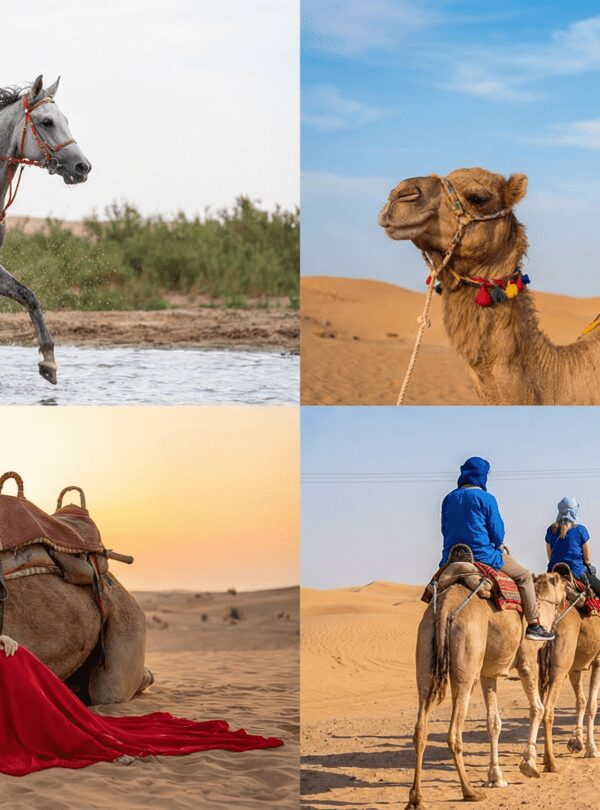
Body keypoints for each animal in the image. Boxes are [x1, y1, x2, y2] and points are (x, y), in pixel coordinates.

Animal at [406, 571, 565, 809]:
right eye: (564, 584)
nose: (570, 597)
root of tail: (444, 608)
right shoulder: (527, 661)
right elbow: (537, 708)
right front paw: (529, 764)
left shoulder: (488, 674)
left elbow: (494, 722)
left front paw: (495, 777)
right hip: (467, 665)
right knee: (454, 732)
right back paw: (469, 791)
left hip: (425, 656)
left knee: (420, 729)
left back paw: (416, 798)